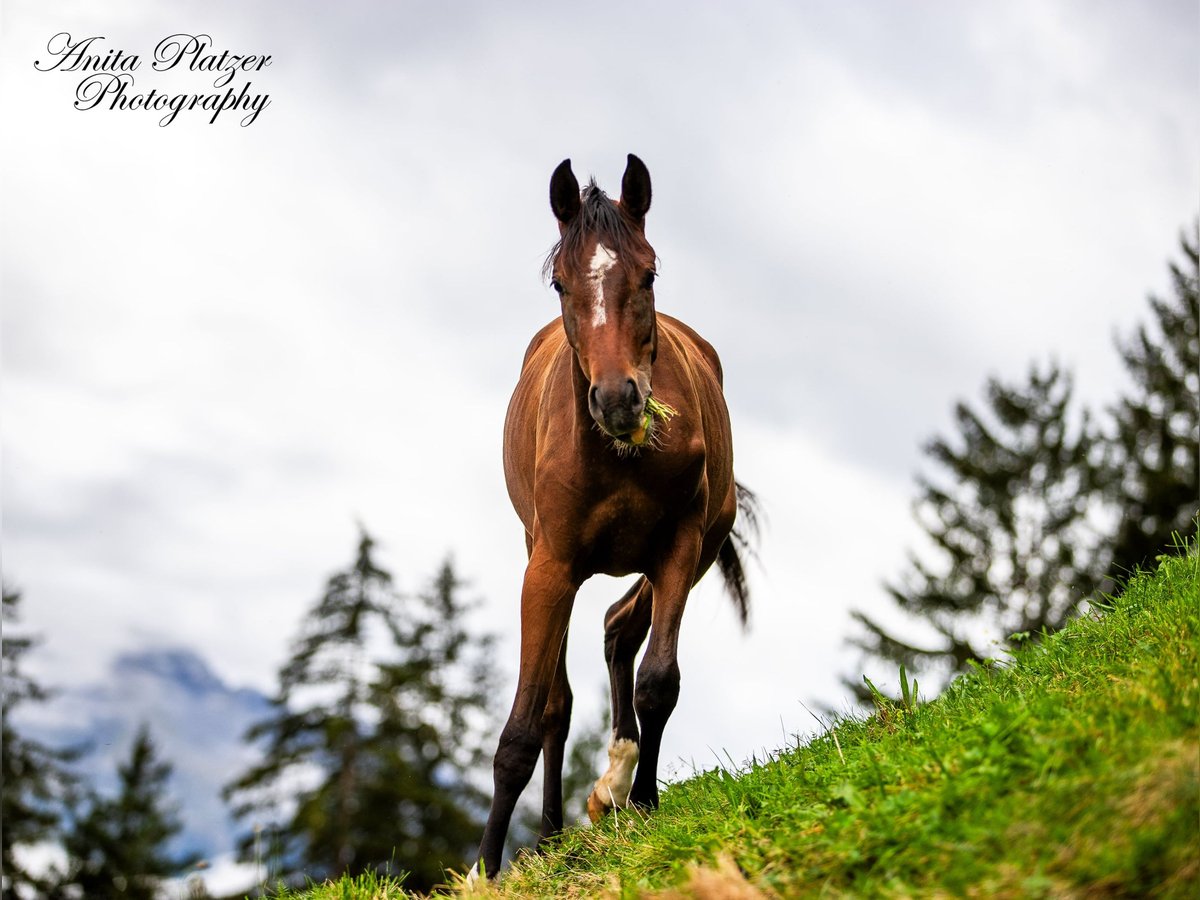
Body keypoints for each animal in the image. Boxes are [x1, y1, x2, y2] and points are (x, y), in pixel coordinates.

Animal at [472, 154, 753, 883]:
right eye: (560, 282)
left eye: (648, 272)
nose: (619, 398)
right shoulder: (549, 568)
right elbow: (525, 727)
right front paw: (483, 870)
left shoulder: (679, 547)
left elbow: (659, 681)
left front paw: (644, 799)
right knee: (560, 700)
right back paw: (548, 835)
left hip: (690, 553)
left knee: (621, 629)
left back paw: (619, 786)